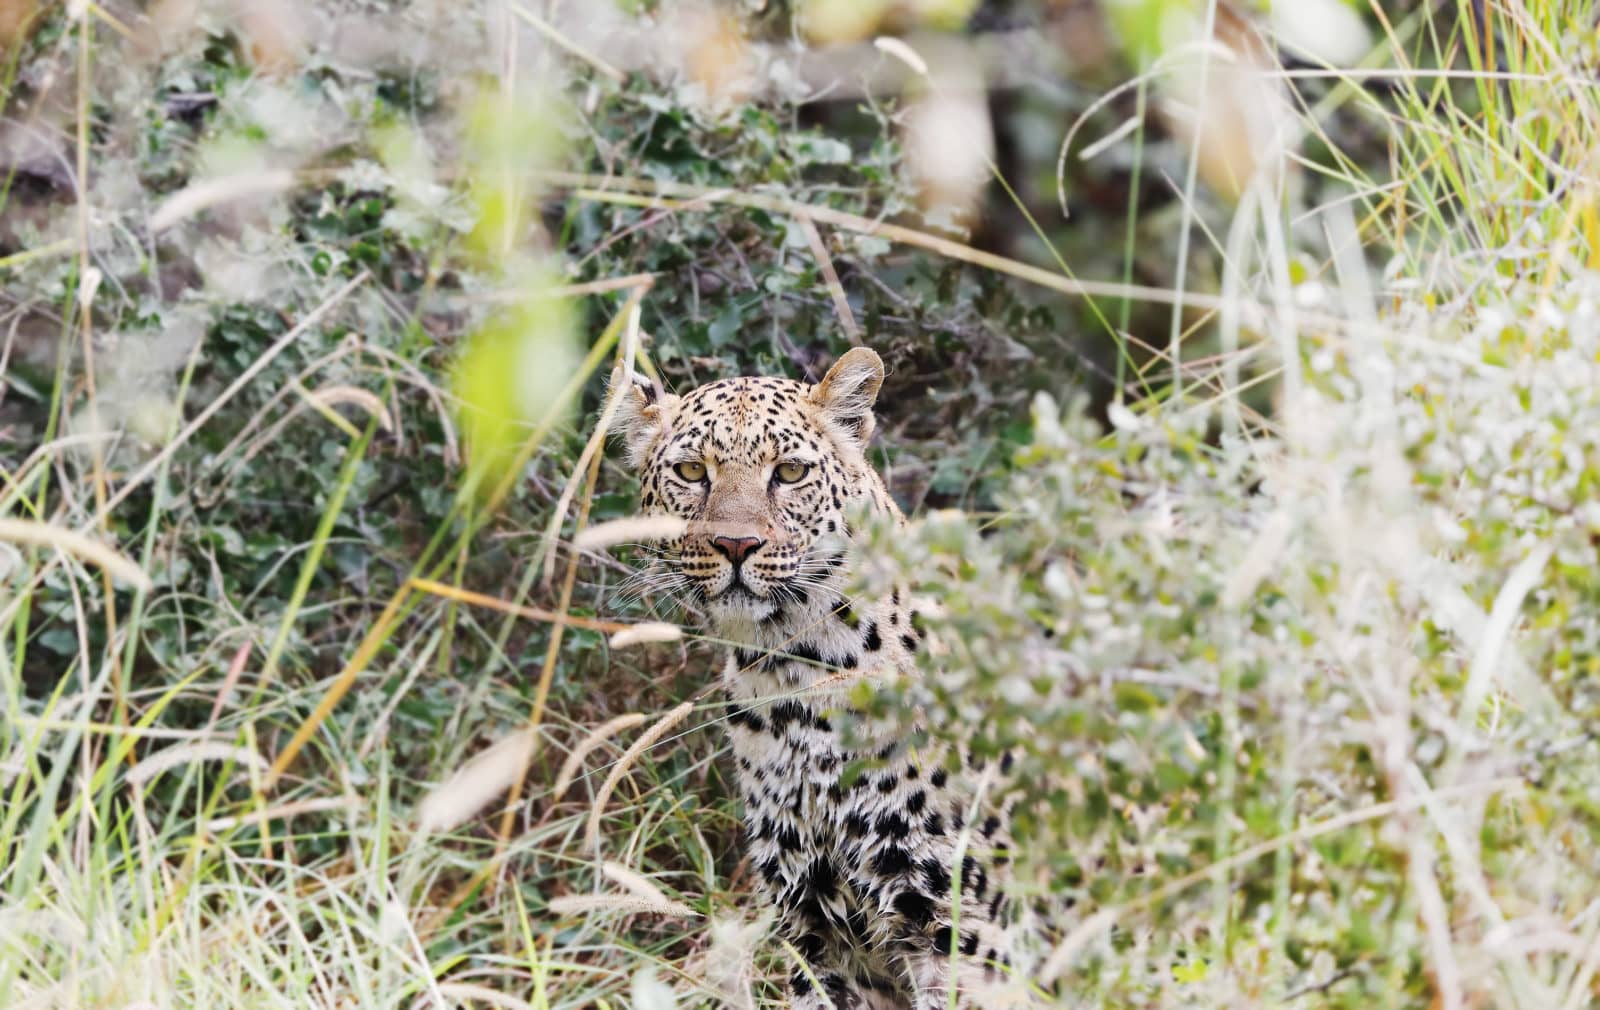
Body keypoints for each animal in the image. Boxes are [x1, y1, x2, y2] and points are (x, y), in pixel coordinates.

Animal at [612, 348, 1032, 1009]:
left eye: (788, 472)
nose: (736, 545)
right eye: (690, 471)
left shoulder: (957, 927)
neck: (792, 675)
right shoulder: (809, 922)